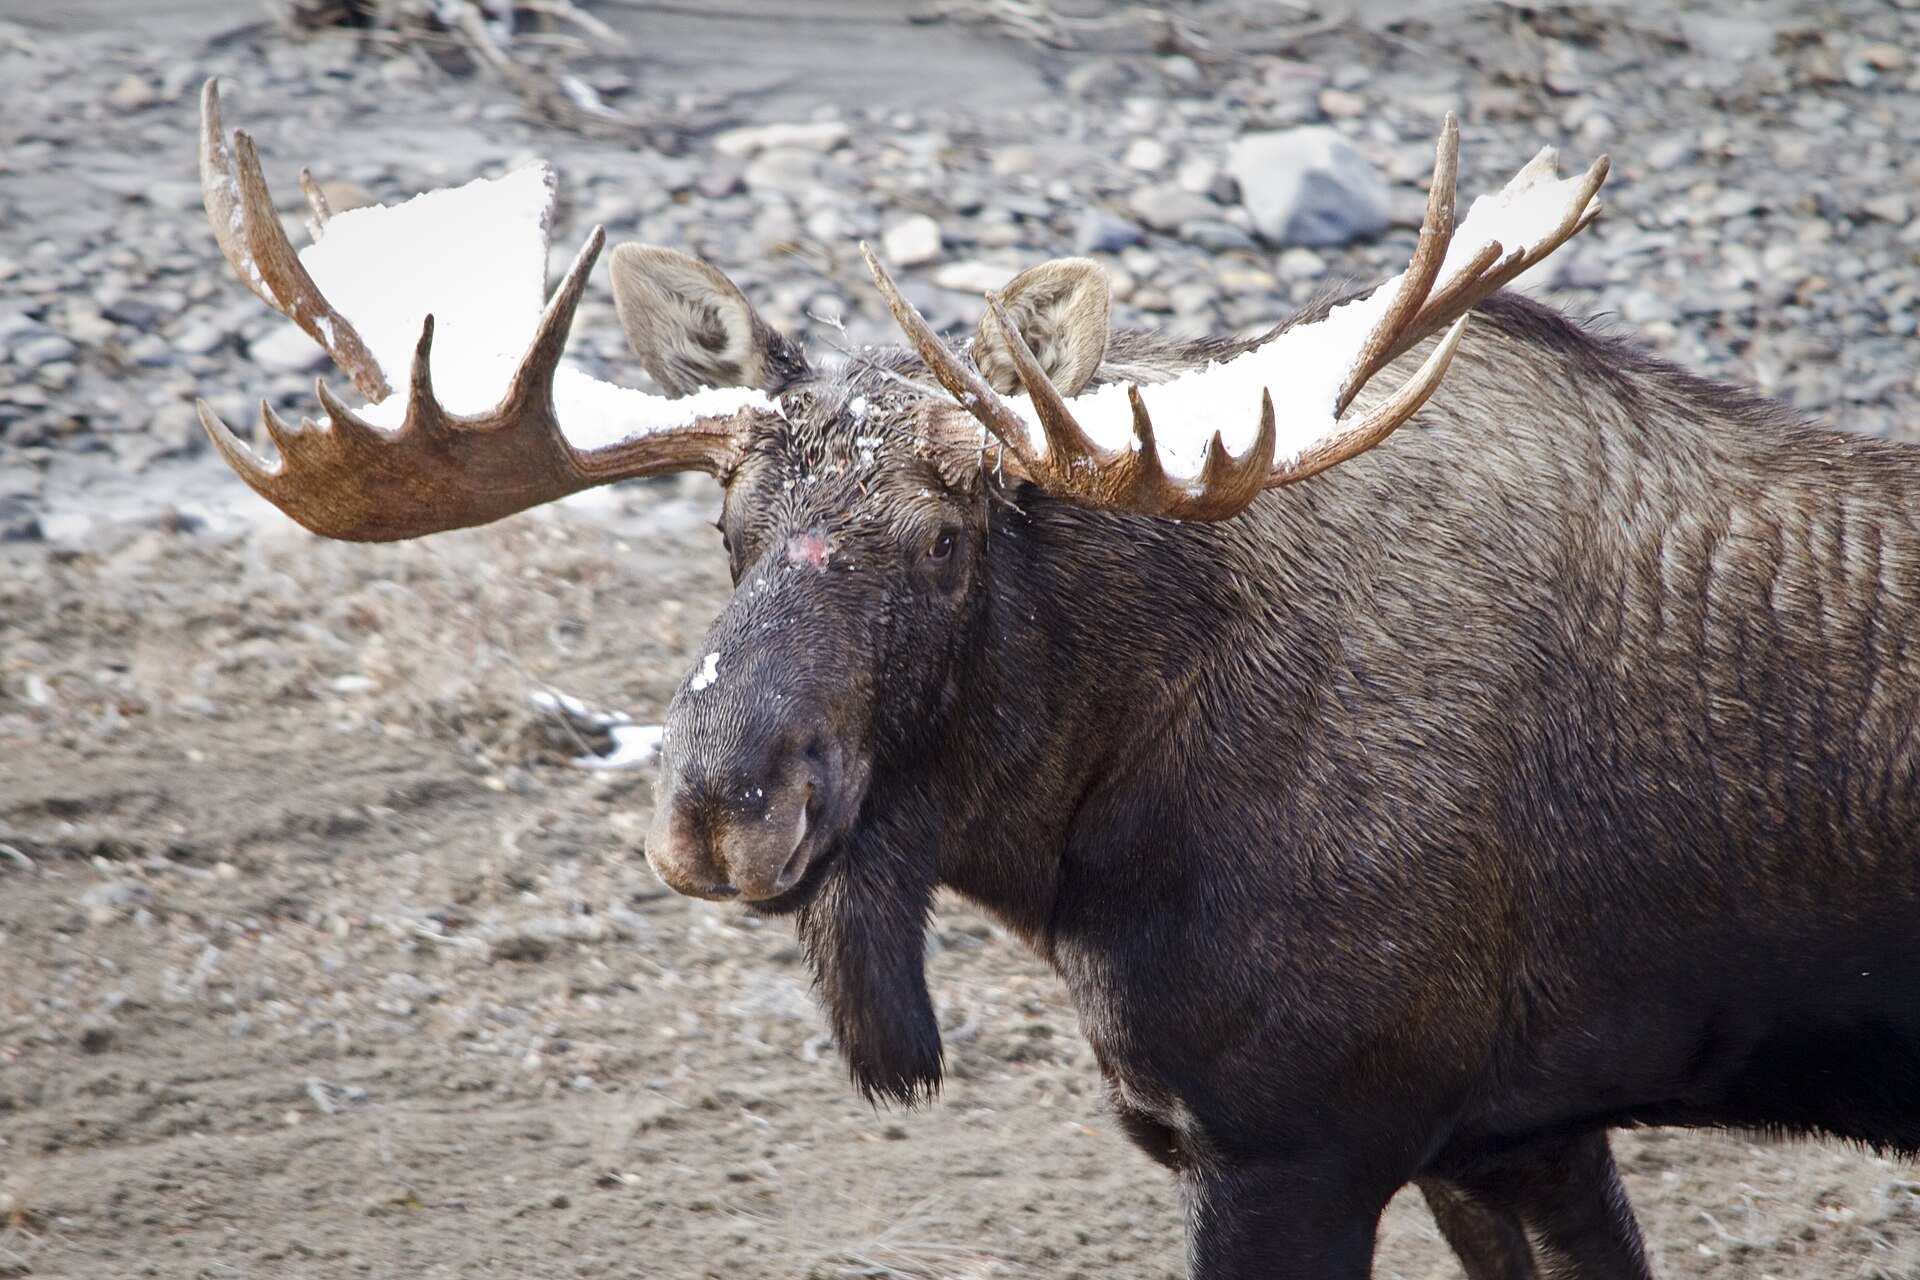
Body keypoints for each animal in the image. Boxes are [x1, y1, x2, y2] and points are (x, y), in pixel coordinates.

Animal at [192, 79, 1920, 1278]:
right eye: (726, 529)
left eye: (950, 538)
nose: (715, 809)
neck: (1084, 846)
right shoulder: (1512, 1133)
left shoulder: (1301, 1137)